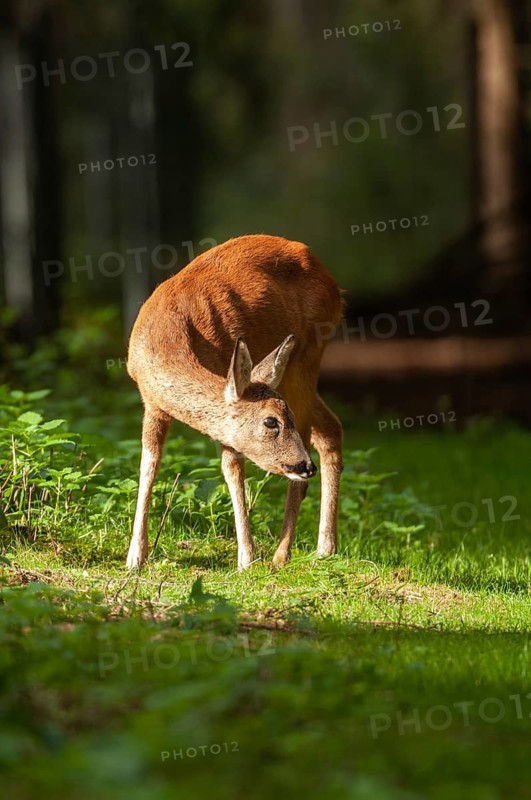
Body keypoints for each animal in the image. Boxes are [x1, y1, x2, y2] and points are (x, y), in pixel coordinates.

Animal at [125, 234, 344, 571]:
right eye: (270, 421)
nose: (305, 466)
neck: (166, 342)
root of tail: (335, 286)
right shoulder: (152, 402)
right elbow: (149, 463)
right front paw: (136, 555)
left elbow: (232, 469)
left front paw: (247, 558)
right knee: (331, 429)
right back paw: (325, 548)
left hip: (308, 355)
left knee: (316, 435)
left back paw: (282, 555)